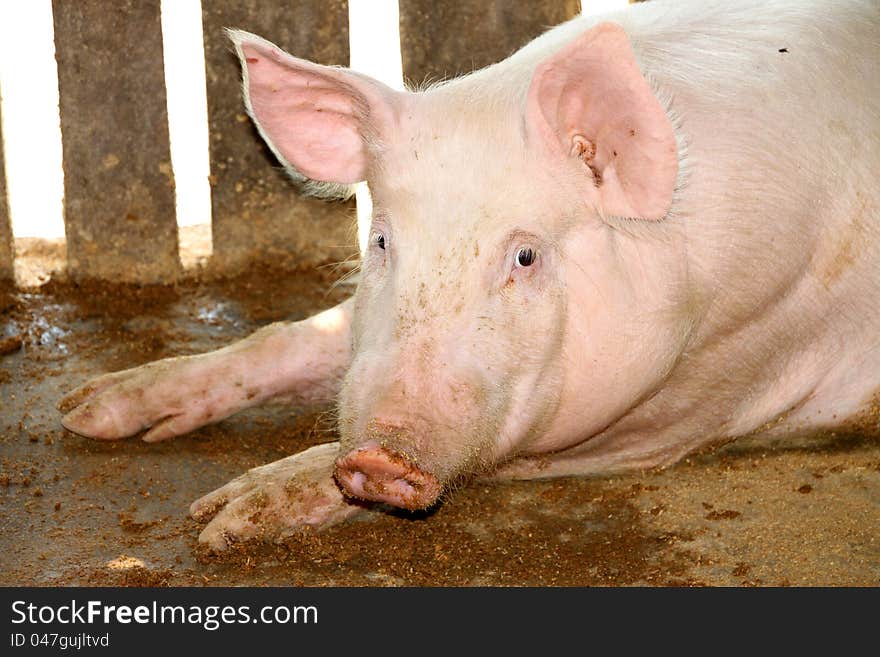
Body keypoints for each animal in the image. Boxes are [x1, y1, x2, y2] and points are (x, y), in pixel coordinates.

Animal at [58, 0, 876, 548]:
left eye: (525, 255)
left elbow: (496, 455)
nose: (377, 454)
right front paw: (86, 410)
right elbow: (286, 338)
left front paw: (220, 520)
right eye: (381, 240)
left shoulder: (698, 401)